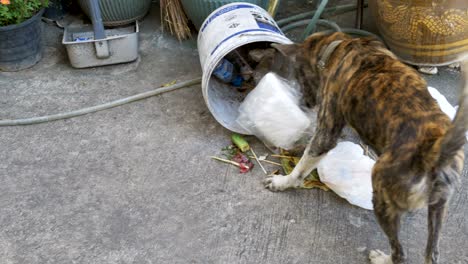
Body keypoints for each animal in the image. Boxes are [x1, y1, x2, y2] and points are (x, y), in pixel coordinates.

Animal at [264, 31, 468, 264]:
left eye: (300, 75)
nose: (306, 104)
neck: (337, 46)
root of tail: (435, 149)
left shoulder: (326, 132)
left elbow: (302, 166)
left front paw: (283, 182)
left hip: (381, 195)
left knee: (400, 254)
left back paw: (382, 258)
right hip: (438, 209)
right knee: (431, 254)